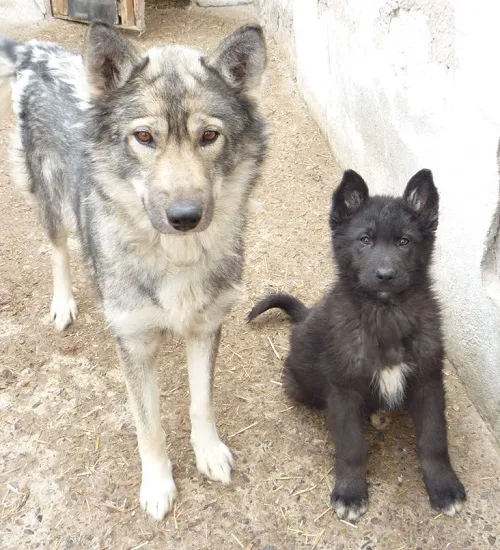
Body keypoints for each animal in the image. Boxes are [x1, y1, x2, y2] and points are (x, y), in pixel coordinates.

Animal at [0, 21, 268, 520]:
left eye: (209, 136)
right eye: (144, 137)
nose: (185, 216)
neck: (175, 257)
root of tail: (40, 53)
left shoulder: (206, 327)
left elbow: (201, 403)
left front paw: (208, 453)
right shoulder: (134, 343)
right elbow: (149, 425)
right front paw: (158, 484)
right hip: (51, 201)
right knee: (59, 249)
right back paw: (63, 304)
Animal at [248, 170, 466, 524]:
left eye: (404, 241)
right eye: (364, 240)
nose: (385, 275)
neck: (385, 313)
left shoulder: (428, 379)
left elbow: (434, 439)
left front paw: (444, 486)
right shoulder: (344, 390)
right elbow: (351, 446)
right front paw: (350, 492)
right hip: (300, 383)